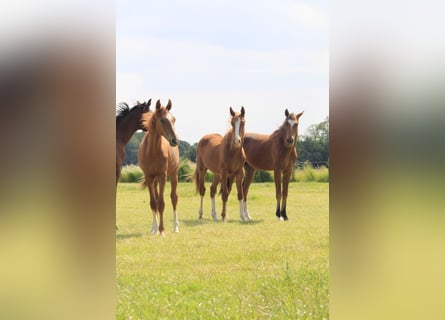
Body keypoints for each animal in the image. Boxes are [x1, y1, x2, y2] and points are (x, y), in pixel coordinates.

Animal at [139, 98, 180, 235]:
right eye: (162, 120)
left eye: (173, 119)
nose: (175, 140)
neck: (152, 150)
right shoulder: (149, 176)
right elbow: (153, 202)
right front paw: (155, 228)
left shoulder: (163, 175)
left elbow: (161, 203)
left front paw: (162, 230)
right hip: (155, 179)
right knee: (156, 199)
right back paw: (154, 227)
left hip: (173, 174)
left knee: (174, 198)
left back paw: (175, 227)